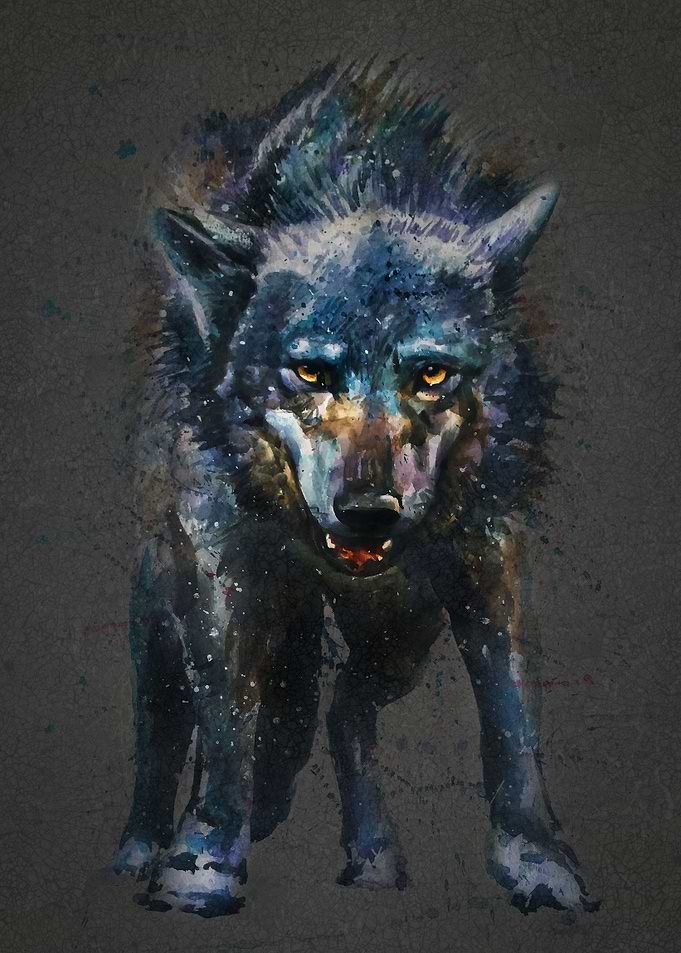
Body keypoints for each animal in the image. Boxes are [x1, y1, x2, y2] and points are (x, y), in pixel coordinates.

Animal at [111, 62, 599, 917]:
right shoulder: (225, 567)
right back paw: (144, 843)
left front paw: (537, 861)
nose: (368, 513)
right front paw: (200, 860)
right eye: (311, 371)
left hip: (400, 632)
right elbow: (227, 719)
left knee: (344, 708)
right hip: (165, 611)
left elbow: (510, 720)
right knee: (168, 724)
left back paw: (372, 854)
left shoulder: (488, 559)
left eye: (431, 373)